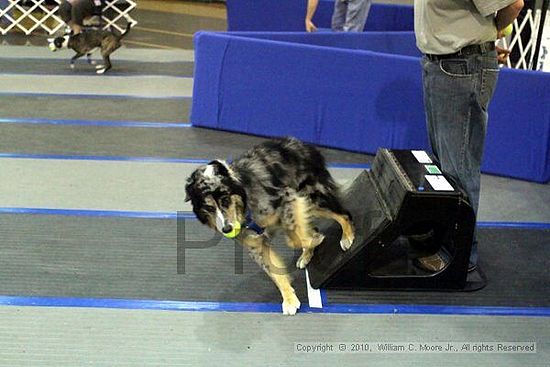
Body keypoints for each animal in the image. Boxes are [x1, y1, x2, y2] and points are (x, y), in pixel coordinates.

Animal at [187, 138, 358, 316]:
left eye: (226, 200)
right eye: (209, 207)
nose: (227, 229)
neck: (246, 207)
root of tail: (302, 144)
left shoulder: (287, 198)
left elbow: (294, 239)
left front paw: (314, 240)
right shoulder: (257, 245)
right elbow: (276, 273)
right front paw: (289, 300)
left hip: (311, 197)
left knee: (344, 214)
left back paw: (346, 237)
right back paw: (306, 255)